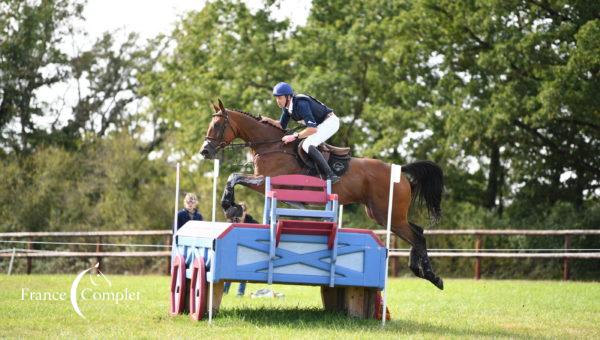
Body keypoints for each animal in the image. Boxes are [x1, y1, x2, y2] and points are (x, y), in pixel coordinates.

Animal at [202, 99, 446, 288]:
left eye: (217, 125)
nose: (204, 151)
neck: (271, 146)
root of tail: (400, 171)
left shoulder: (265, 182)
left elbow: (234, 177)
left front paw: (229, 205)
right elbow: (235, 177)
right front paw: (231, 206)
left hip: (388, 214)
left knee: (417, 236)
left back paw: (433, 277)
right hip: (384, 214)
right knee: (417, 232)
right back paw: (420, 270)